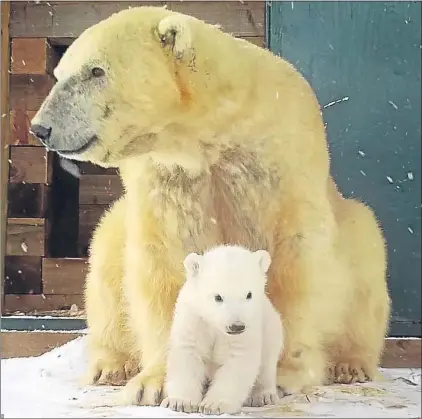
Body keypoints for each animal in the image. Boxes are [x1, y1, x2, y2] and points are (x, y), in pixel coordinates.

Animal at [30, 5, 392, 406]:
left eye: (96, 70)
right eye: (59, 72)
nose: (40, 128)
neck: (212, 134)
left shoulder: (283, 160)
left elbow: (295, 262)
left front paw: (281, 372)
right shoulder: (167, 178)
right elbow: (164, 262)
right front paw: (153, 382)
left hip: (356, 234)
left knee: (365, 265)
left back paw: (351, 364)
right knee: (107, 255)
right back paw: (112, 365)